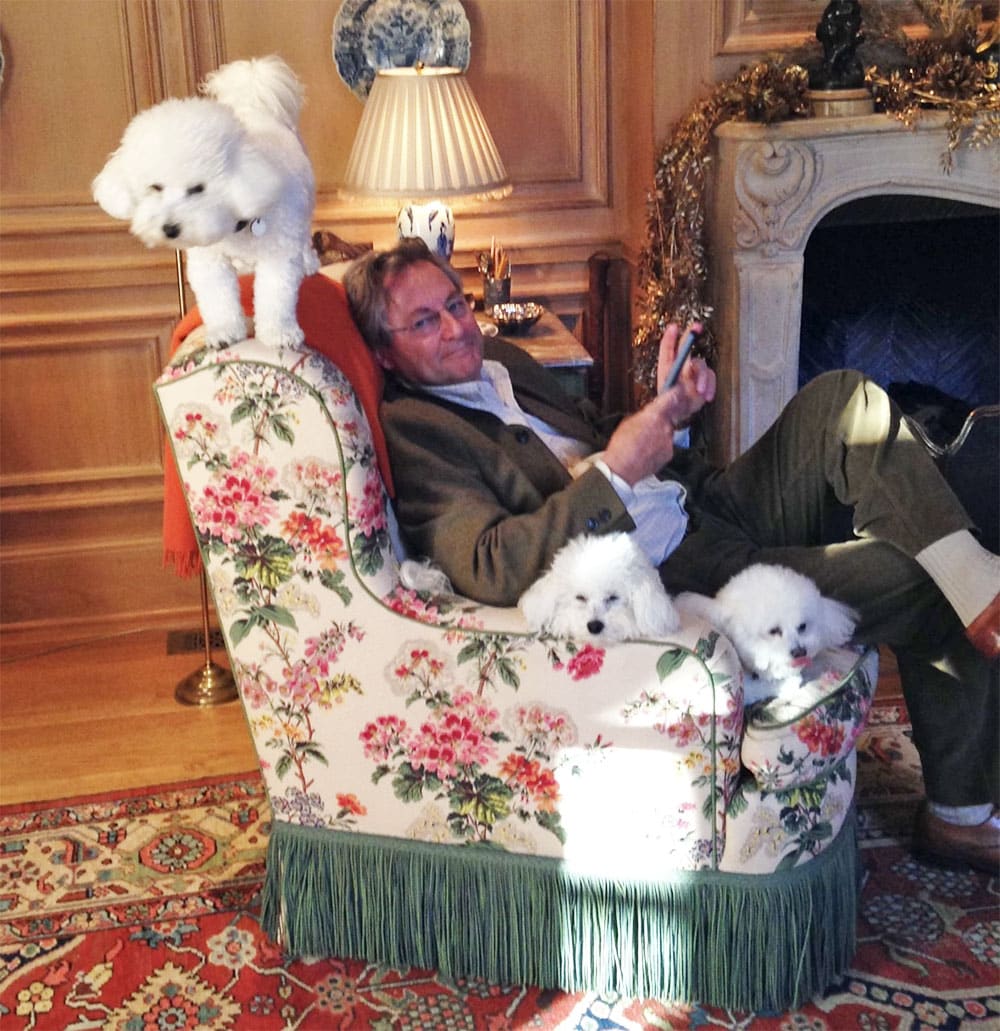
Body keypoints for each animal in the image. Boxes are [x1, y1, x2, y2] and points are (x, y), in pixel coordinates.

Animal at [91, 53, 315, 350]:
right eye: (155, 187)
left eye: (198, 189)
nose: (169, 229)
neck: (235, 226)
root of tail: (255, 101)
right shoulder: (209, 262)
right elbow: (218, 299)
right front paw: (225, 331)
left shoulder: (278, 255)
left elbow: (276, 297)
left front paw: (280, 333)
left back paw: (309, 261)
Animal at [676, 560, 857, 705]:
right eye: (774, 631)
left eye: (802, 626)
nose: (800, 652)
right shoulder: (746, 689)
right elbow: (760, 687)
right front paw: (789, 683)